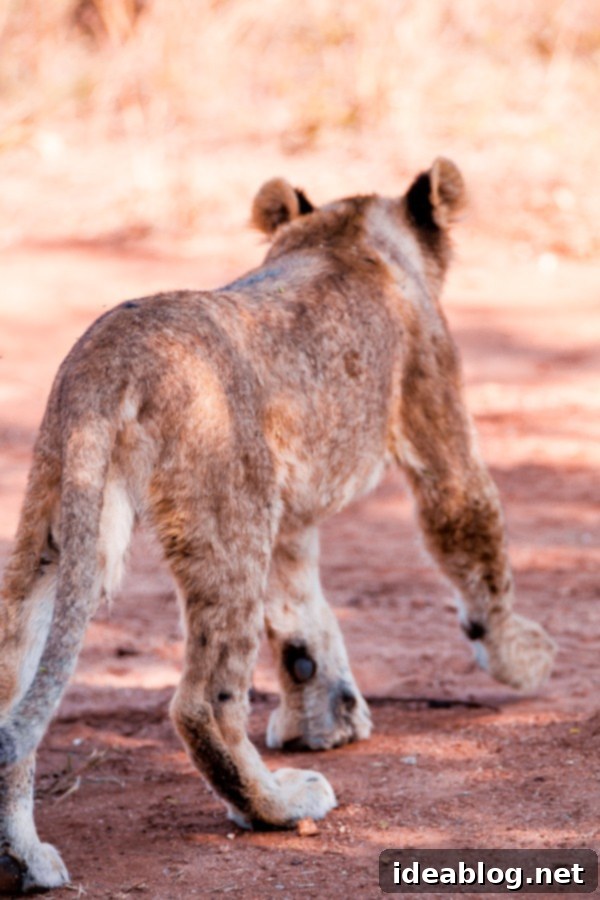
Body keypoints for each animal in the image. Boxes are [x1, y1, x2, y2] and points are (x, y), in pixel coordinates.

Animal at [0, 158, 555, 892]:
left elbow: (302, 621)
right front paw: (523, 659)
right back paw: (278, 804)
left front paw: (326, 721)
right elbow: (475, 537)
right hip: (231, 519)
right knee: (204, 701)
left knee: (14, 687)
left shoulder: (291, 516)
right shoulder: (437, 418)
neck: (342, 233)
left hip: (61, 518)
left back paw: (26, 856)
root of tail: (110, 355)